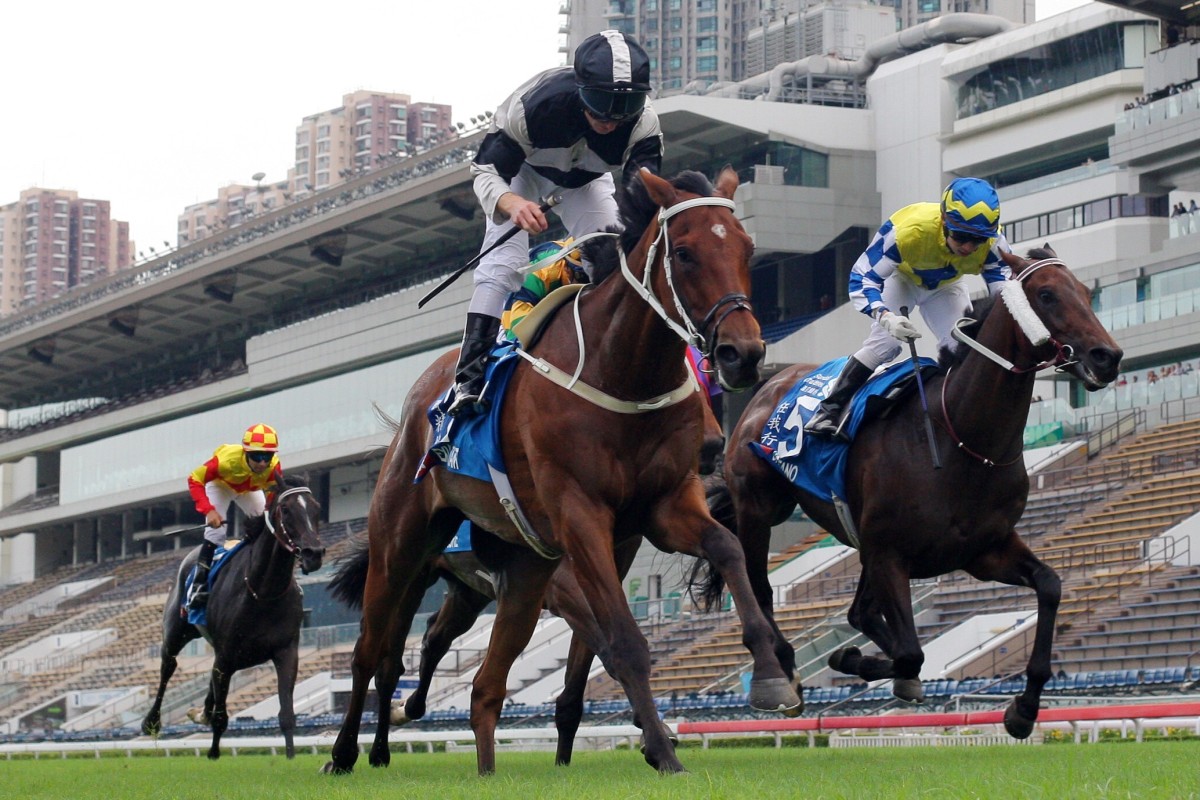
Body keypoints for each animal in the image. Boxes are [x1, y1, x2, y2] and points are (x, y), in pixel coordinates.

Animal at [140, 479, 324, 762]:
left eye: (317, 508)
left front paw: (291, 756)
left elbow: (286, 715)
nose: (314, 553)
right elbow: (221, 717)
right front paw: (213, 753)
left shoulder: (286, 652)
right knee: (167, 668)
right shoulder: (226, 655)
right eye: (286, 510)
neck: (263, 591)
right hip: (176, 634)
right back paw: (152, 722)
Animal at [324, 167, 801, 777]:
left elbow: (728, 548)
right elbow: (623, 642)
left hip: (522, 572)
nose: (743, 353)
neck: (619, 371)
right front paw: (664, 751)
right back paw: (348, 752)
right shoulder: (581, 517)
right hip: (401, 546)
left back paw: (483, 771)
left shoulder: (662, 507)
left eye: (746, 249)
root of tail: (419, 399)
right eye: (686, 253)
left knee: (482, 683)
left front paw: (772, 673)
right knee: (373, 653)